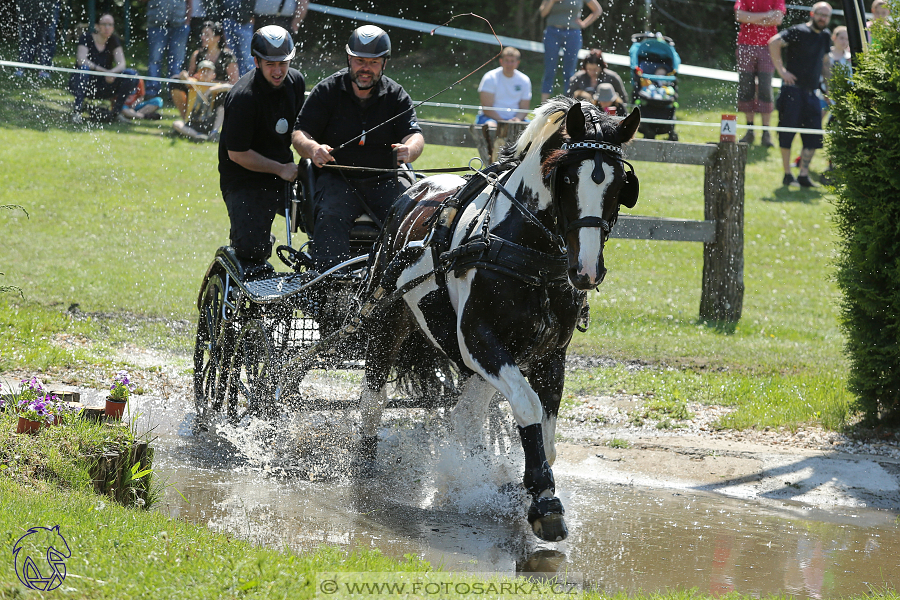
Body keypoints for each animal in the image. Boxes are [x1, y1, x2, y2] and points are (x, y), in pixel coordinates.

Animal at [358, 97, 640, 540]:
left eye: (617, 185)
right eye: (567, 177)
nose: (586, 271)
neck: (525, 247)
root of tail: (414, 191)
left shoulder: (547, 353)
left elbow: (547, 435)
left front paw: (519, 487)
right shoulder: (478, 340)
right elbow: (527, 407)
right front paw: (543, 500)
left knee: (466, 418)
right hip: (388, 325)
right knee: (374, 397)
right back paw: (366, 465)